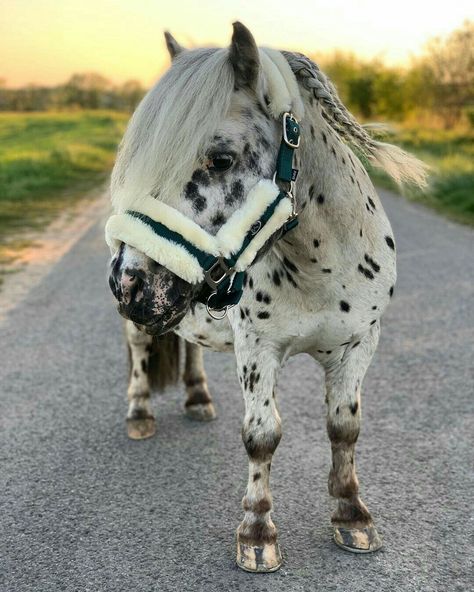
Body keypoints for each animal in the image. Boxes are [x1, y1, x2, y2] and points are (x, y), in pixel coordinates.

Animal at [105, 20, 428, 572]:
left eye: (220, 159)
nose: (129, 284)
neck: (322, 263)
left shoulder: (359, 345)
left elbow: (344, 427)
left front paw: (352, 516)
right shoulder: (258, 351)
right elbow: (262, 436)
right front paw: (257, 533)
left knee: (189, 344)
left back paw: (197, 397)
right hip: (149, 320)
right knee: (142, 348)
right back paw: (141, 414)